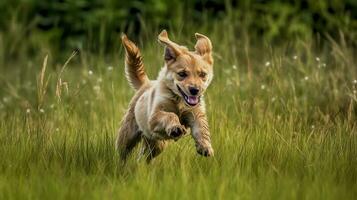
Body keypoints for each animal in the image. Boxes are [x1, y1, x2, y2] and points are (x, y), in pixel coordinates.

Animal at [115, 29, 213, 162]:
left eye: (202, 74)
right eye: (182, 74)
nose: (195, 90)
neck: (179, 101)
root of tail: (146, 83)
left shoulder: (195, 113)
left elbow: (202, 128)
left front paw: (205, 146)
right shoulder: (154, 117)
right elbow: (170, 115)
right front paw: (176, 127)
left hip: (156, 144)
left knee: (144, 156)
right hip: (128, 135)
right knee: (123, 152)